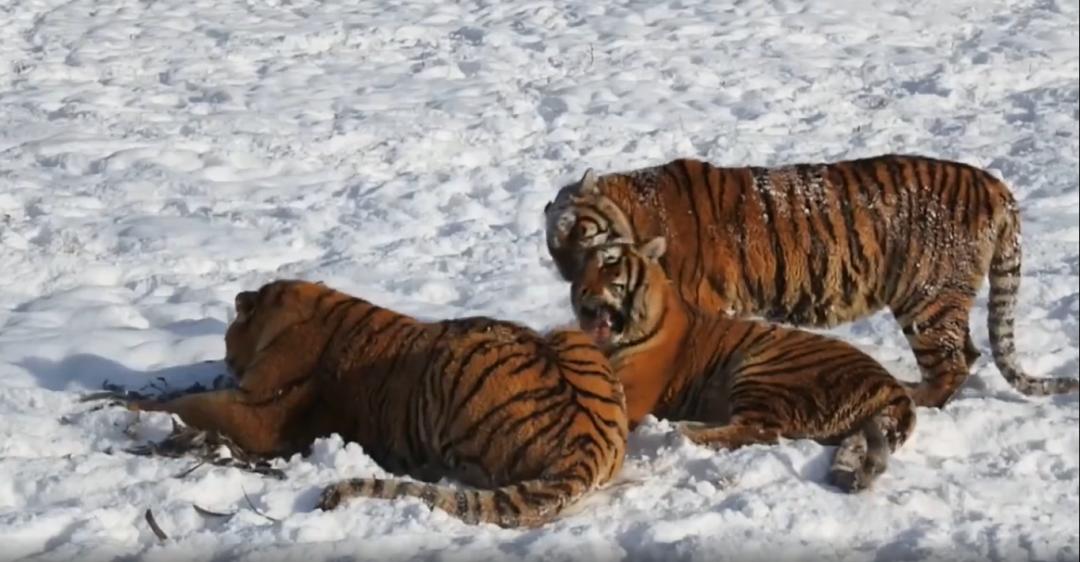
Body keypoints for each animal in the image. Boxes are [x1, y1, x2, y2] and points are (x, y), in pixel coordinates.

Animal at [130, 278, 630, 529]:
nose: (228, 359)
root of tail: (589, 442)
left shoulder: (259, 413)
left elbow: (195, 405)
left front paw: (131, 409)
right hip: (566, 333)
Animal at [548, 154, 1080, 408]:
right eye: (555, 249)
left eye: (582, 233)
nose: (576, 286)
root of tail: (993, 184)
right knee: (965, 355)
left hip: (926, 298)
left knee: (950, 362)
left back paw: (917, 398)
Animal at [570, 236, 915, 492]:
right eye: (582, 266)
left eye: (609, 263)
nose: (579, 290)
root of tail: (894, 387)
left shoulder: (629, 393)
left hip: (762, 368)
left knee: (759, 431)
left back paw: (680, 432)